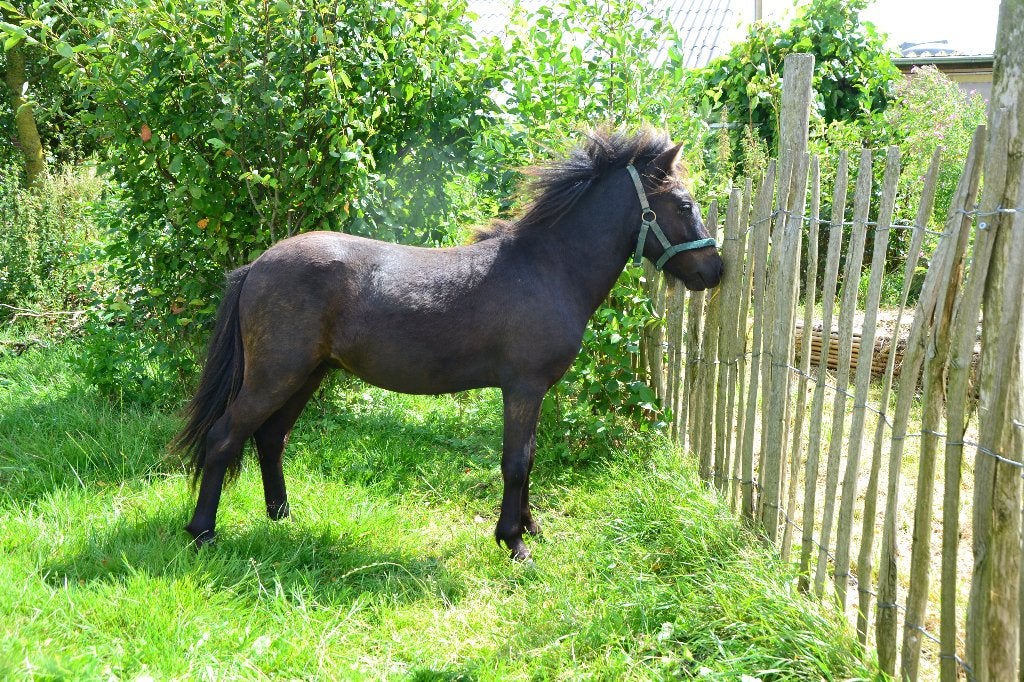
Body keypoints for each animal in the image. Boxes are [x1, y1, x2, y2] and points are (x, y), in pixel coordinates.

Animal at [172, 127, 723, 561]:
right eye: (684, 204)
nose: (715, 270)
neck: (548, 267)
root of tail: (256, 266)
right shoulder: (523, 389)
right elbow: (515, 462)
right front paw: (514, 542)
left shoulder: (532, 392)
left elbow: (528, 458)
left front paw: (531, 528)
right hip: (274, 375)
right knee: (224, 437)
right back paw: (202, 533)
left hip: (307, 375)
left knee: (270, 438)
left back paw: (283, 517)